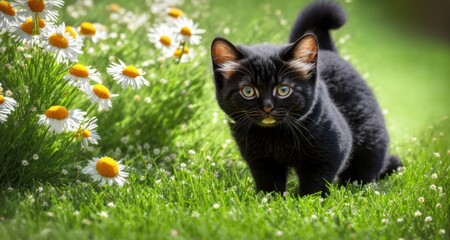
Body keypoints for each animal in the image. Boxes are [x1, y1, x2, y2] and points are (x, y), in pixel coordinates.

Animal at [210, 0, 400, 196]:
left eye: (283, 89)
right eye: (248, 91)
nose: (267, 107)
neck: (275, 135)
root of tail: (327, 50)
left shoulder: (332, 151)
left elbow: (316, 182)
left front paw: (309, 200)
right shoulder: (260, 159)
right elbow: (268, 180)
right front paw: (270, 198)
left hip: (370, 136)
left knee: (366, 165)